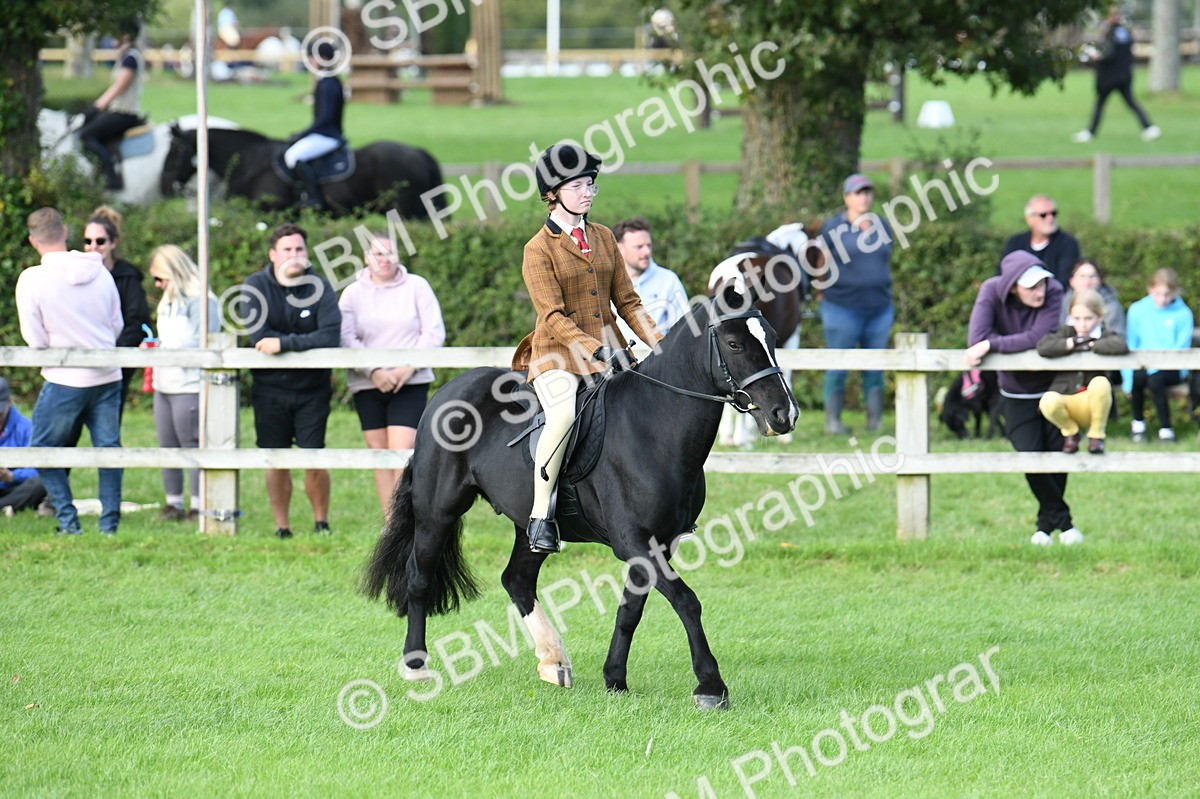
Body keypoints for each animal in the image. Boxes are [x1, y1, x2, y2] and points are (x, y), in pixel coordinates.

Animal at [160, 126, 446, 219]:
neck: (252, 161)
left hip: (409, 212)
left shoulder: (270, 213)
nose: (164, 186)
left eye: (175, 151)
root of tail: (419, 153)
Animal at [362, 286, 798, 709]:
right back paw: (416, 667)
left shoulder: (658, 543)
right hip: (438, 511)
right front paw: (710, 686)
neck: (655, 425)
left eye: (772, 338)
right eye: (734, 344)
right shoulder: (633, 541)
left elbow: (631, 609)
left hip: (529, 525)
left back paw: (553, 661)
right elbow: (687, 601)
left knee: (517, 580)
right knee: (420, 577)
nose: (784, 415)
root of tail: (447, 392)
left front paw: (615, 679)